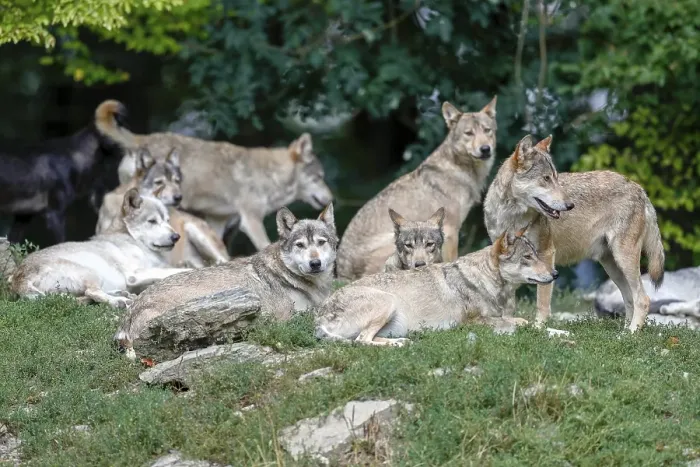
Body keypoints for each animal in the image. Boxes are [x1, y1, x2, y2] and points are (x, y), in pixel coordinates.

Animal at [8, 189, 190, 308]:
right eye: (152, 221)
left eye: (167, 220)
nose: (176, 237)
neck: (132, 239)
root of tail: (19, 277)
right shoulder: (135, 274)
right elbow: (176, 270)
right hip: (92, 272)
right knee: (92, 293)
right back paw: (119, 301)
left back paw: (121, 294)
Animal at [118, 131, 333, 250]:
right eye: (319, 177)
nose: (331, 198)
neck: (269, 176)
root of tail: (139, 139)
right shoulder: (251, 221)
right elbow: (264, 245)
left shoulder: (219, 221)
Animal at [315, 226, 557, 346]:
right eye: (527, 257)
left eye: (535, 255)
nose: (555, 274)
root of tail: (319, 316)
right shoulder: (473, 323)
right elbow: (524, 323)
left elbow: (533, 324)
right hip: (388, 302)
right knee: (361, 341)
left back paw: (401, 342)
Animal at [336, 97, 498, 281]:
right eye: (468, 133)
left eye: (487, 130)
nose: (485, 149)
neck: (460, 169)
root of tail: (341, 274)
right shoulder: (451, 231)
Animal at [483, 134, 665, 332]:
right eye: (546, 178)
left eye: (556, 178)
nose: (570, 205)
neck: (510, 216)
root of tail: (640, 189)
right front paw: (507, 325)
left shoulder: (546, 254)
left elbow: (542, 303)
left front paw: (538, 329)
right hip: (612, 267)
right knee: (630, 299)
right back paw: (625, 332)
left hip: (624, 260)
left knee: (643, 299)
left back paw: (630, 333)